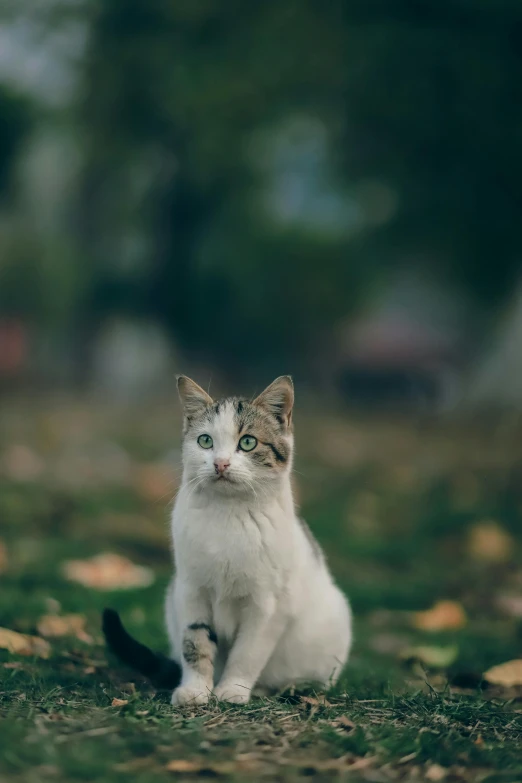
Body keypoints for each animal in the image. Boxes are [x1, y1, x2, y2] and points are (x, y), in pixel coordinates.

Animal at [102, 376, 352, 708]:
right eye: (205, 441)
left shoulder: (267, 605)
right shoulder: (191, 590)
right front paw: (196, 690)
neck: (228, 514)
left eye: (247, 442)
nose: (220, 463)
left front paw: (233, 689)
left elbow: (247, 653)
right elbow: (195, 644)